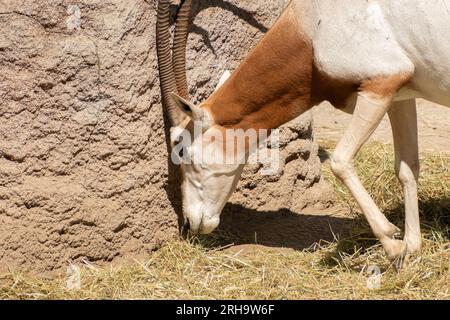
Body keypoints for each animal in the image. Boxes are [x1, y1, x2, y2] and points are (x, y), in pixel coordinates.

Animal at [156, 0, 450, 266]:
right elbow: (406, 167)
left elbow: (340, 161)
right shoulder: (400, 94)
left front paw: (392, 244)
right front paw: (412, 247)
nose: (190, 222)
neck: (311, 27)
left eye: (182, 150)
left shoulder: (379, 87)